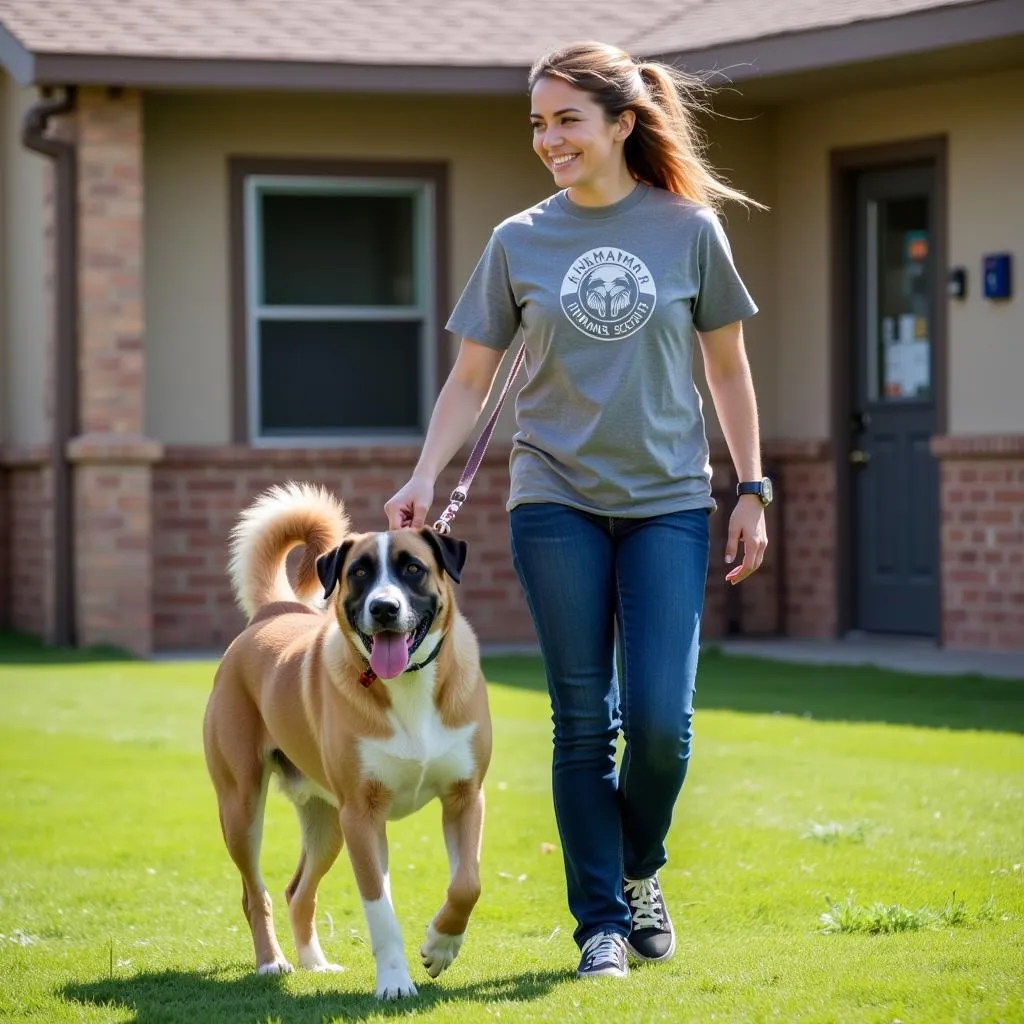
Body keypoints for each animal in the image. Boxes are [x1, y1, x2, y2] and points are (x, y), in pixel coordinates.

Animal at [202, 483, 491, 995]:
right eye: (359, 573)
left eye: (412, 568)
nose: (384, 608)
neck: (408, 685)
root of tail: (274, 612)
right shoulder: (362, 815)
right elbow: (381, 908)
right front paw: (395, 982)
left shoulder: (466, 796)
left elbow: (467, 884)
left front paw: (440, 946)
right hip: (242, 807)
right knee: (255, 893)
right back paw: (272, 962)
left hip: (327, 822)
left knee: (298, 890)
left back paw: (315, 963)